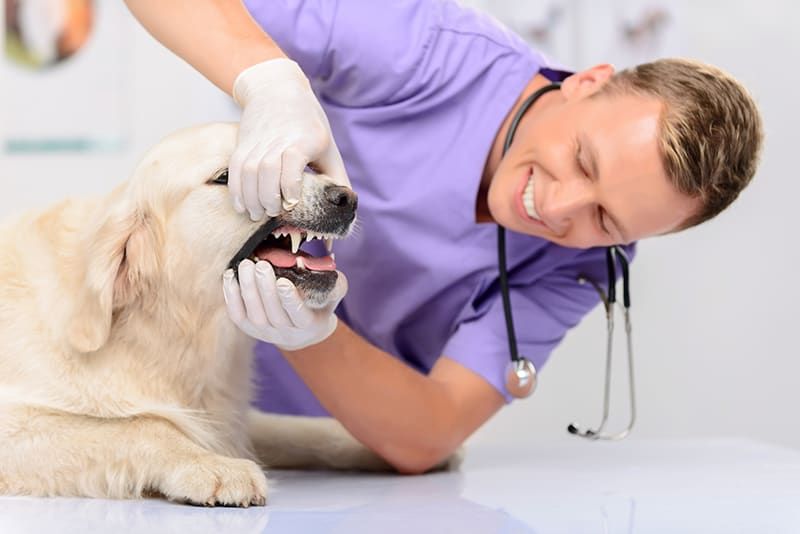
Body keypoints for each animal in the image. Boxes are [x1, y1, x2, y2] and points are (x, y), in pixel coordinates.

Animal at [0, 123, 388, 508]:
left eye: (301, 163)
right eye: (226, 176)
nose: (347, 198)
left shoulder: (232, 420)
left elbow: (298, 429)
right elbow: (145, 425)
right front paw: (214, 466)